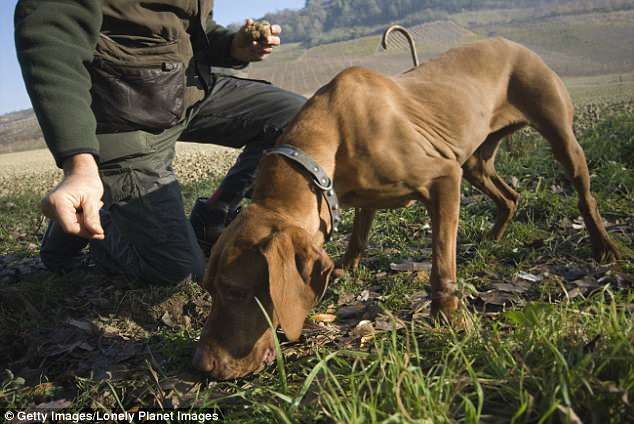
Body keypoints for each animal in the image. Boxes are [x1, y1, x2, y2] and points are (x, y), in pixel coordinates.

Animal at [193, 37, 616, 378]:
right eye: (209, 288)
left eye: (235, 291)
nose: (203, 366)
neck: (324, 147)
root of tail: (513, 43)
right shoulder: (364, 197)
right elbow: (358, 239)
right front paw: (346, 270)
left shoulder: (444, 177)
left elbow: (441, 264)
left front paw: (447, 316)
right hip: (475, 162)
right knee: (510, 197)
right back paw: (493, 240)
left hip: (556, 134)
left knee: (584, 194)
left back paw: (604, 247)